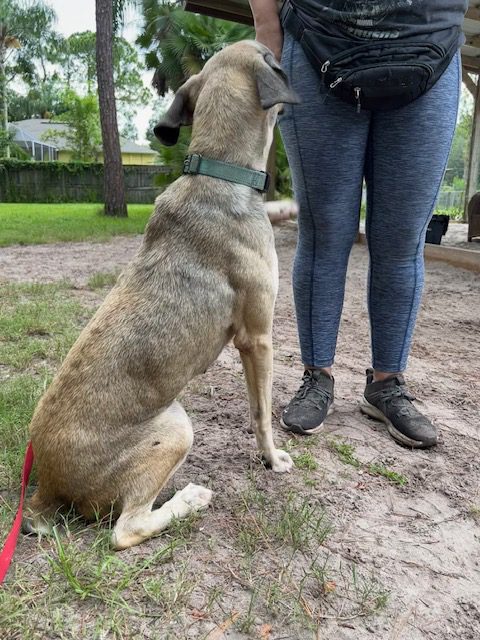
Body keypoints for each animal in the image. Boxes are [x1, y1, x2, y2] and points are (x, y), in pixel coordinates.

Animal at [24, 41, 298, 552]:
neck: (219, 171)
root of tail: (47, 489)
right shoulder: (257, 338)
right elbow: (262, 413)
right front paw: (272, 459)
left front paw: (287, 207)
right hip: (175, 426)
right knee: (125, 530)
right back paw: (188, 499)